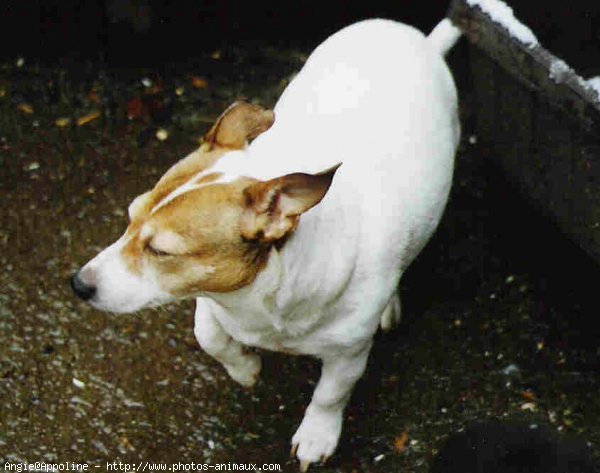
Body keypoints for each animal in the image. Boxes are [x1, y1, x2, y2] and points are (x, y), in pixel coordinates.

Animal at [72, 17, 462, 468]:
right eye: (130, 217)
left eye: (161, 251)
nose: (78, 284)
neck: (259, 298)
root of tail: (420, 40)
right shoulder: (212, 297)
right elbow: (209, 337)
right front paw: (245, 368)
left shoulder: (348, 354)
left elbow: (330, 394)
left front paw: (316, 436)